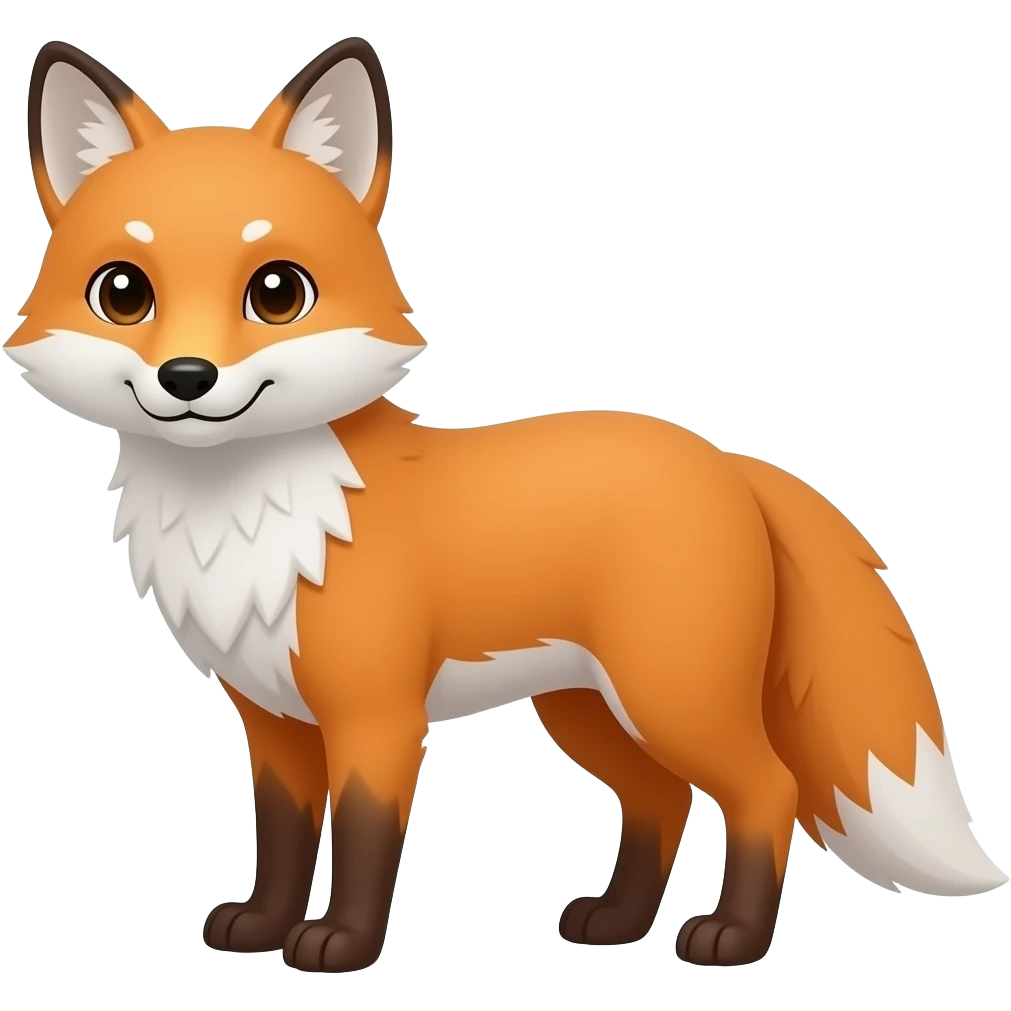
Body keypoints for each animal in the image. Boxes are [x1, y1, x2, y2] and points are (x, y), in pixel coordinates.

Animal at [8, 36, 1007, 974]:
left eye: (277, 291)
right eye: (123, 292)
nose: (187, 378)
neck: (254, 520)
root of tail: (725, 459)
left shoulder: (377, 715)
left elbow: (363, 837)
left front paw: (340, 943)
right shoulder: (275, 720)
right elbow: (285, 836)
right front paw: (261, 925)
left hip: (670, 695)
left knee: (768, 789)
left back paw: (730, 937)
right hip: (588, 709)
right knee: (659, 798)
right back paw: (616, 922)